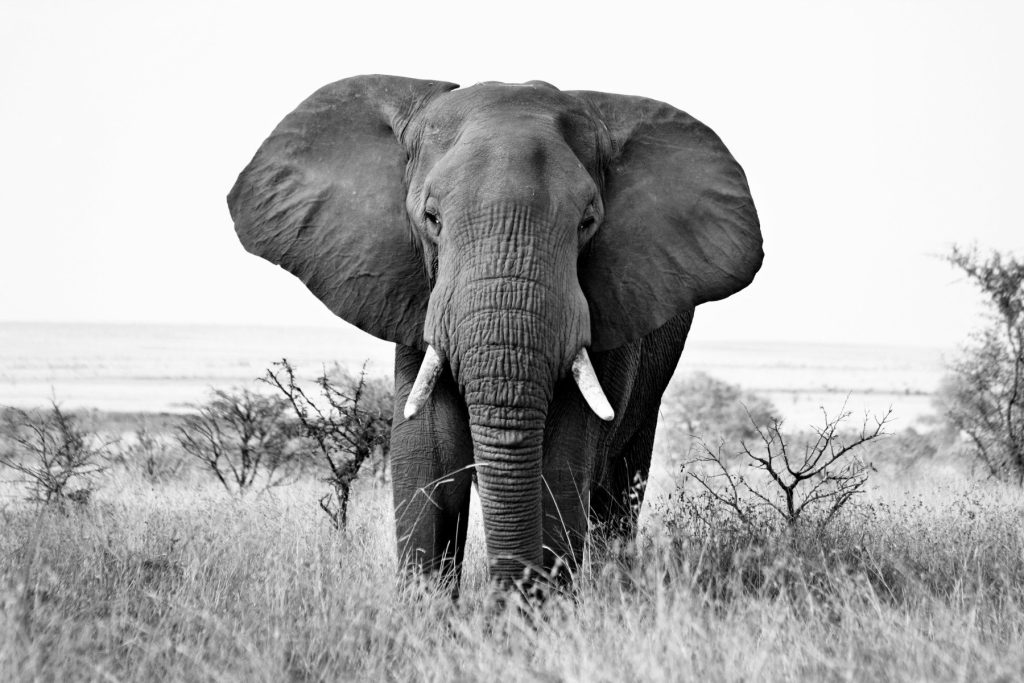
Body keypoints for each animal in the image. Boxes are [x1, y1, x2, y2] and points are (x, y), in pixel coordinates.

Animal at [227, 75, 762, 592]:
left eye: (587, 223)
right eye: (432, 219)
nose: (508, 600)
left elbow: (560, 464)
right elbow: (428, 456)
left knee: (618, 491)